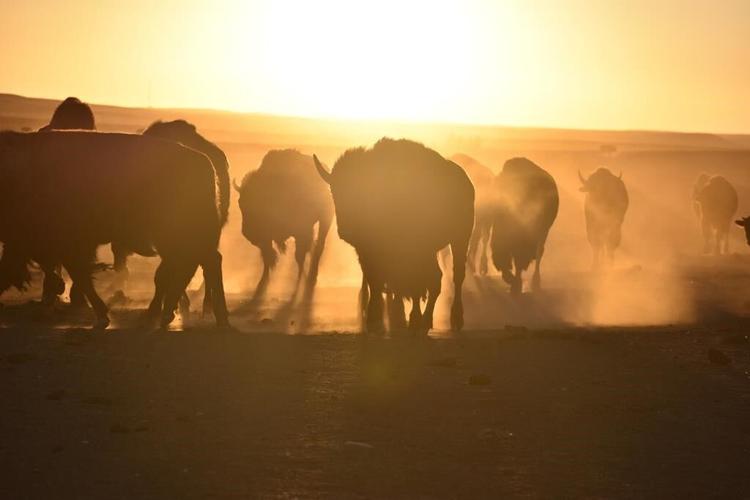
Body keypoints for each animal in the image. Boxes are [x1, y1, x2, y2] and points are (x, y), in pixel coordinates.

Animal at [0, 130, 228, 329]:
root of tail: (205, 162)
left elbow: (80, 276)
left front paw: (102, 315)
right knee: (196, 266)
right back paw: (174, 315)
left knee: (196, 266)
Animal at [236, 149, 333, 290]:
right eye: (240, 203)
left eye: (257, 203)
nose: (247, 233)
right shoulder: (266, 238)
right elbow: (267, 257)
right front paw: (263, 281)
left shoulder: (301, 231)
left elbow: (299, 256)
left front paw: (299, 281)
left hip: (325, 219)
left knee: (318, 245)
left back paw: (311, 276)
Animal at [314, 138, 474, 333]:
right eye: (334, 192)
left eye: (362, 193)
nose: (346, 230)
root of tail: (466, 183)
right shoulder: (367, 252)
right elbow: (375, 280)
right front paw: (374, 317)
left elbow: (410, 283)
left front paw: (409, 317)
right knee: (435, 279)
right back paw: (424, 319)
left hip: (460, 239)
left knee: (453, 276)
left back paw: (449, 319)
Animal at [491, 158, 558, 295]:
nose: (500, 264)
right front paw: (514, 283)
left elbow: (520, 261)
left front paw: (516, 285)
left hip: (544, 232)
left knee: (539, 254)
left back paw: (536, 282)